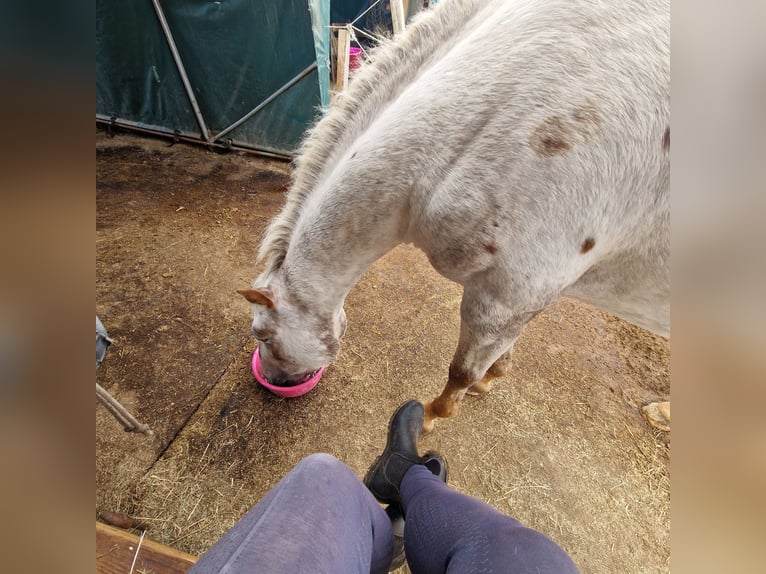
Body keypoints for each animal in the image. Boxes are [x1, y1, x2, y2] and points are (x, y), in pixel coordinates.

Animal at [238, 0, 670, 432]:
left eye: (262, 333)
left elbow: (461, 371)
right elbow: (498, 354)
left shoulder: (505, 297)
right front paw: (492, 378)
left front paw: (430, 417)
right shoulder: (517, 303)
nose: (274, 380)